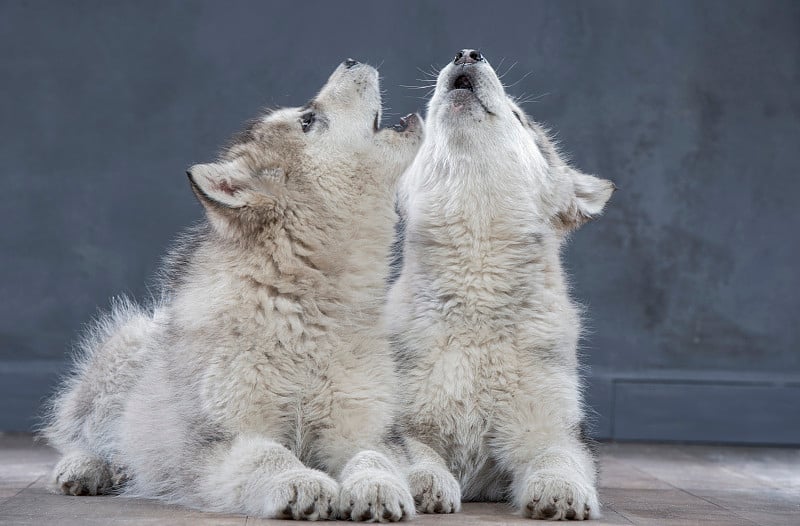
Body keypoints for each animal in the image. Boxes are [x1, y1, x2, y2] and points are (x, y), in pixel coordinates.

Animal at [43, 60, 454, 524]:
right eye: (308, 120)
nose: (350, 61)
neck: (302, 304)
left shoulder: (364, 428)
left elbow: (374, 456)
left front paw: (378, 487)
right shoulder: (225, 438)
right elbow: (269, 455)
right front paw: (302, 482)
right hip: (122, 354)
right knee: (83, 434)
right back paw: (87, 467)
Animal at [388, 51, 612, 520]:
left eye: (519, 117)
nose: (466, 54)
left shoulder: (555, 429)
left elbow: (559, 458)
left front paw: (561, 491)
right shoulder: (400, 420)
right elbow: (414, 452)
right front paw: (425, 482)